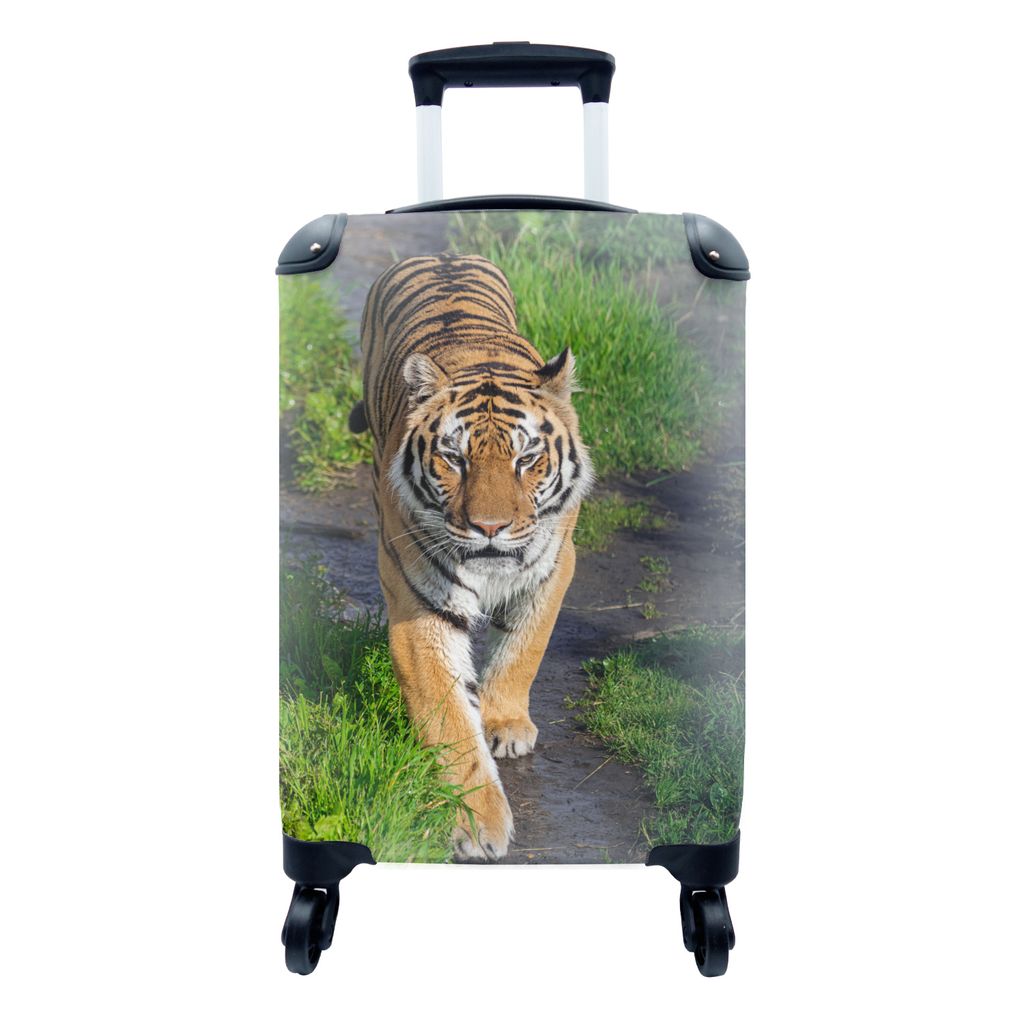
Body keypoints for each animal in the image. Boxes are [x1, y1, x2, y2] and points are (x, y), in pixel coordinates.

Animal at [349, 253, 594, 861]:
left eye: (526, 459)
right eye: (454, 459)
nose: (489, 527)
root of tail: (442, 255)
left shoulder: (556, 566)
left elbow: (525, 647)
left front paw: (506, 723)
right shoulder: (419, 605)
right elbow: (450, 723)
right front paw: (477, 825)